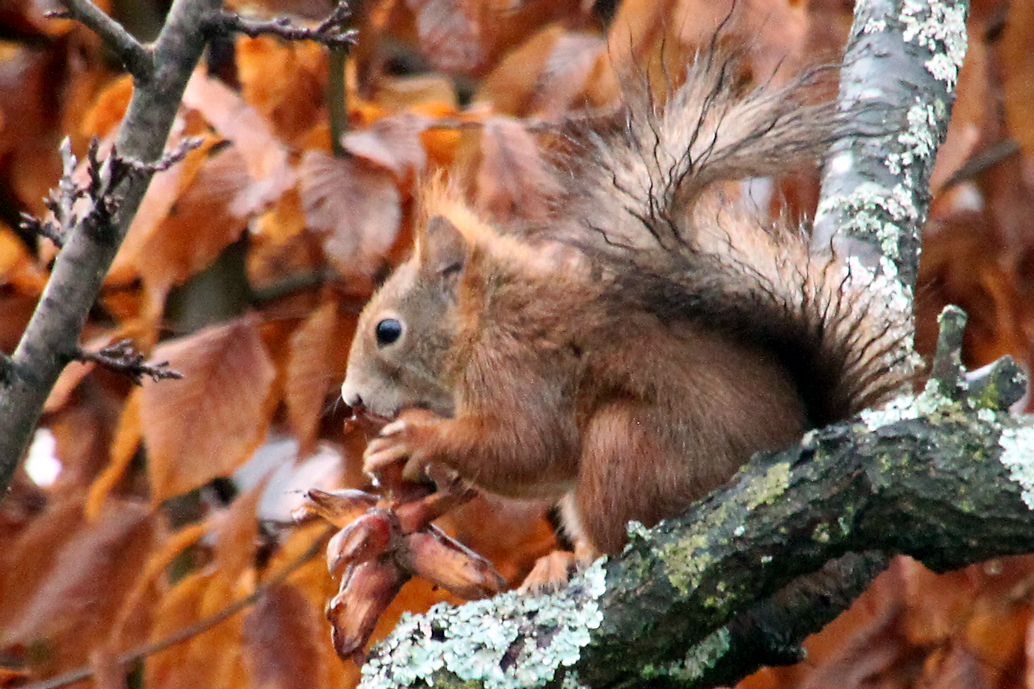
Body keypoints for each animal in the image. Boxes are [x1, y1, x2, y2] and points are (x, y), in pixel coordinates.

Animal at [337, 52, 905, 579]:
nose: (351, 398)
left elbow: (526, 446)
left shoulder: (518, 368)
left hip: (630, 445)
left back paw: (575, 561)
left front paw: (416, 436)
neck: (485, 319)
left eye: (388, 330)